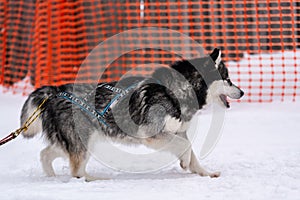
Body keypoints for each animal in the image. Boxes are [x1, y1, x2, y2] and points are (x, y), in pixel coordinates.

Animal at [20, 48, 244, 181]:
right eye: (228, 79)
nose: (242, 92)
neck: (177, 91)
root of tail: (54, 91)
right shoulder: (153, 135)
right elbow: (186, 148)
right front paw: (185, 162)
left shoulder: (178, 132)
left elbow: (191, 152)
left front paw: (204, 172)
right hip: (85, 141)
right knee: (77, 171)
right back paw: (94, 179)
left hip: (74, 142)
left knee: (46, 154)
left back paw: (51, 177)